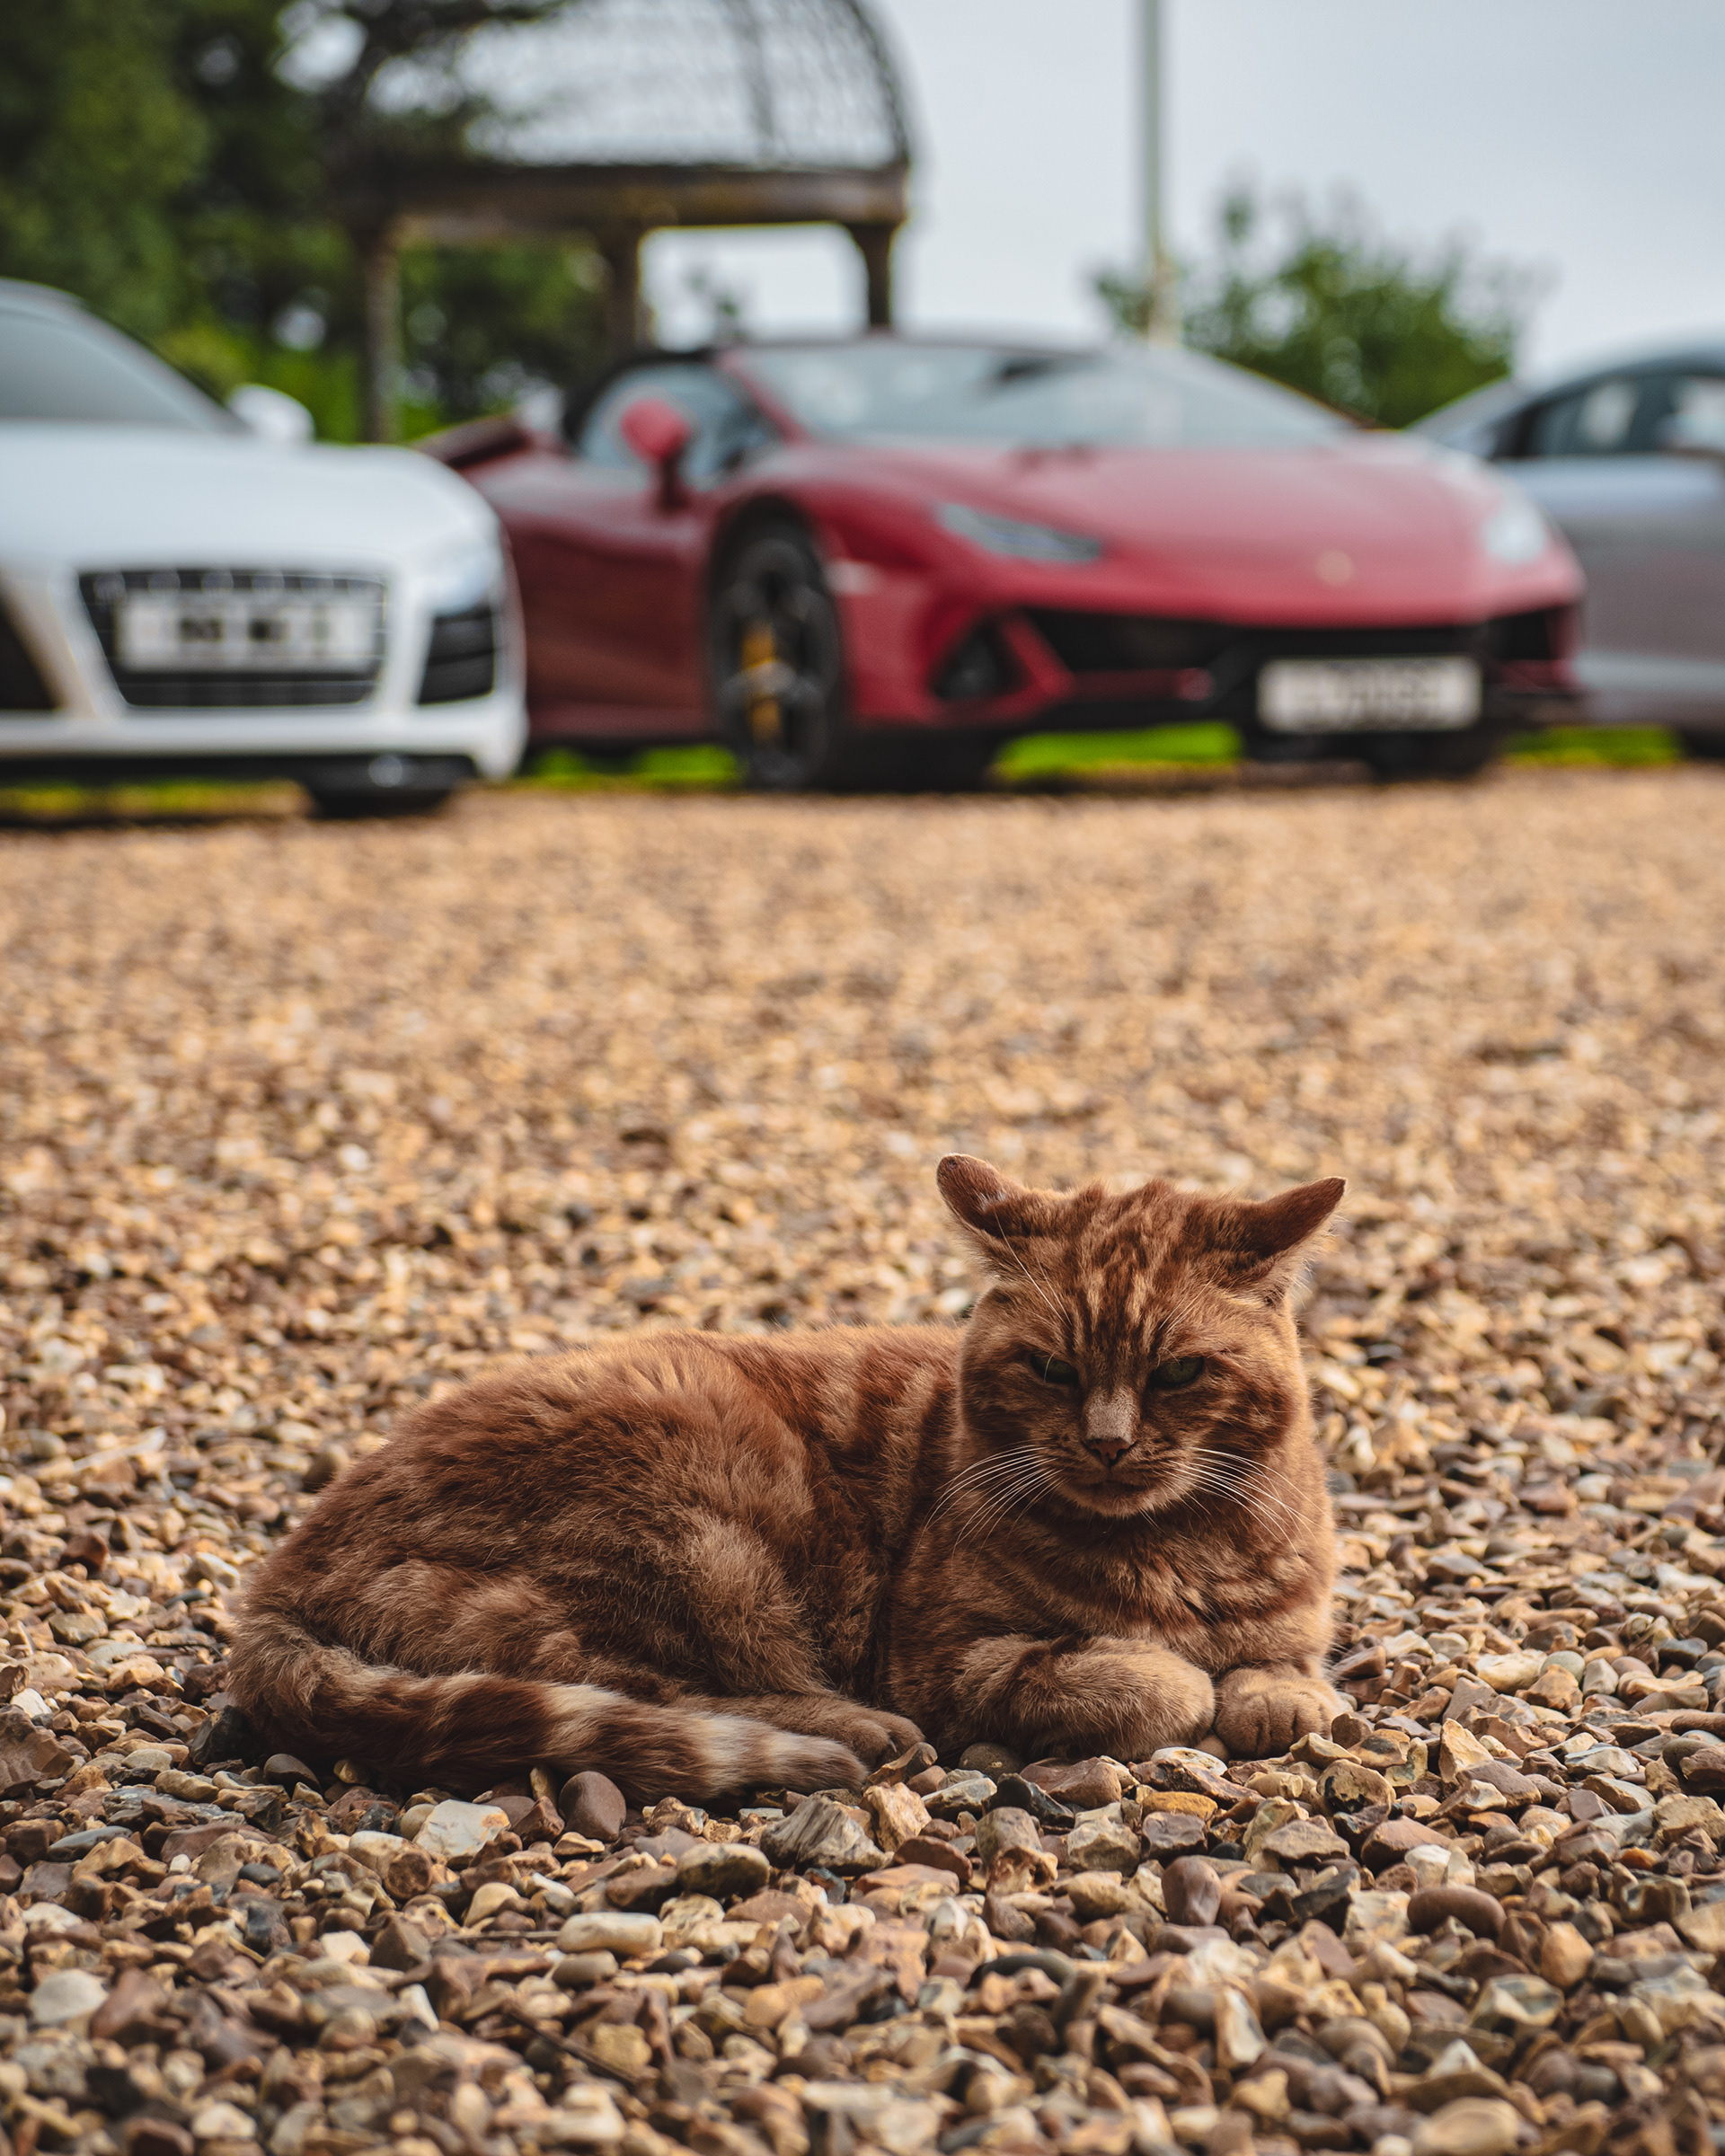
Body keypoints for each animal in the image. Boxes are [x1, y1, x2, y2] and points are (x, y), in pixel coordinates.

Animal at [227, 1155, 1344, 1798]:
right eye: (1053, 1369)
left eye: (1179, 1373)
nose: (1108, 1442)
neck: (1180, 1551)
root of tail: (280, 1576)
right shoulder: (949, 1659)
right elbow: (1149, 1683)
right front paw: (1186, 1681)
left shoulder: (1289, 1624)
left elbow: (1288, 1676)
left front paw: (1269, 1691)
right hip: (697, 1540)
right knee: (668, 1697)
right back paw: (861, 1734)